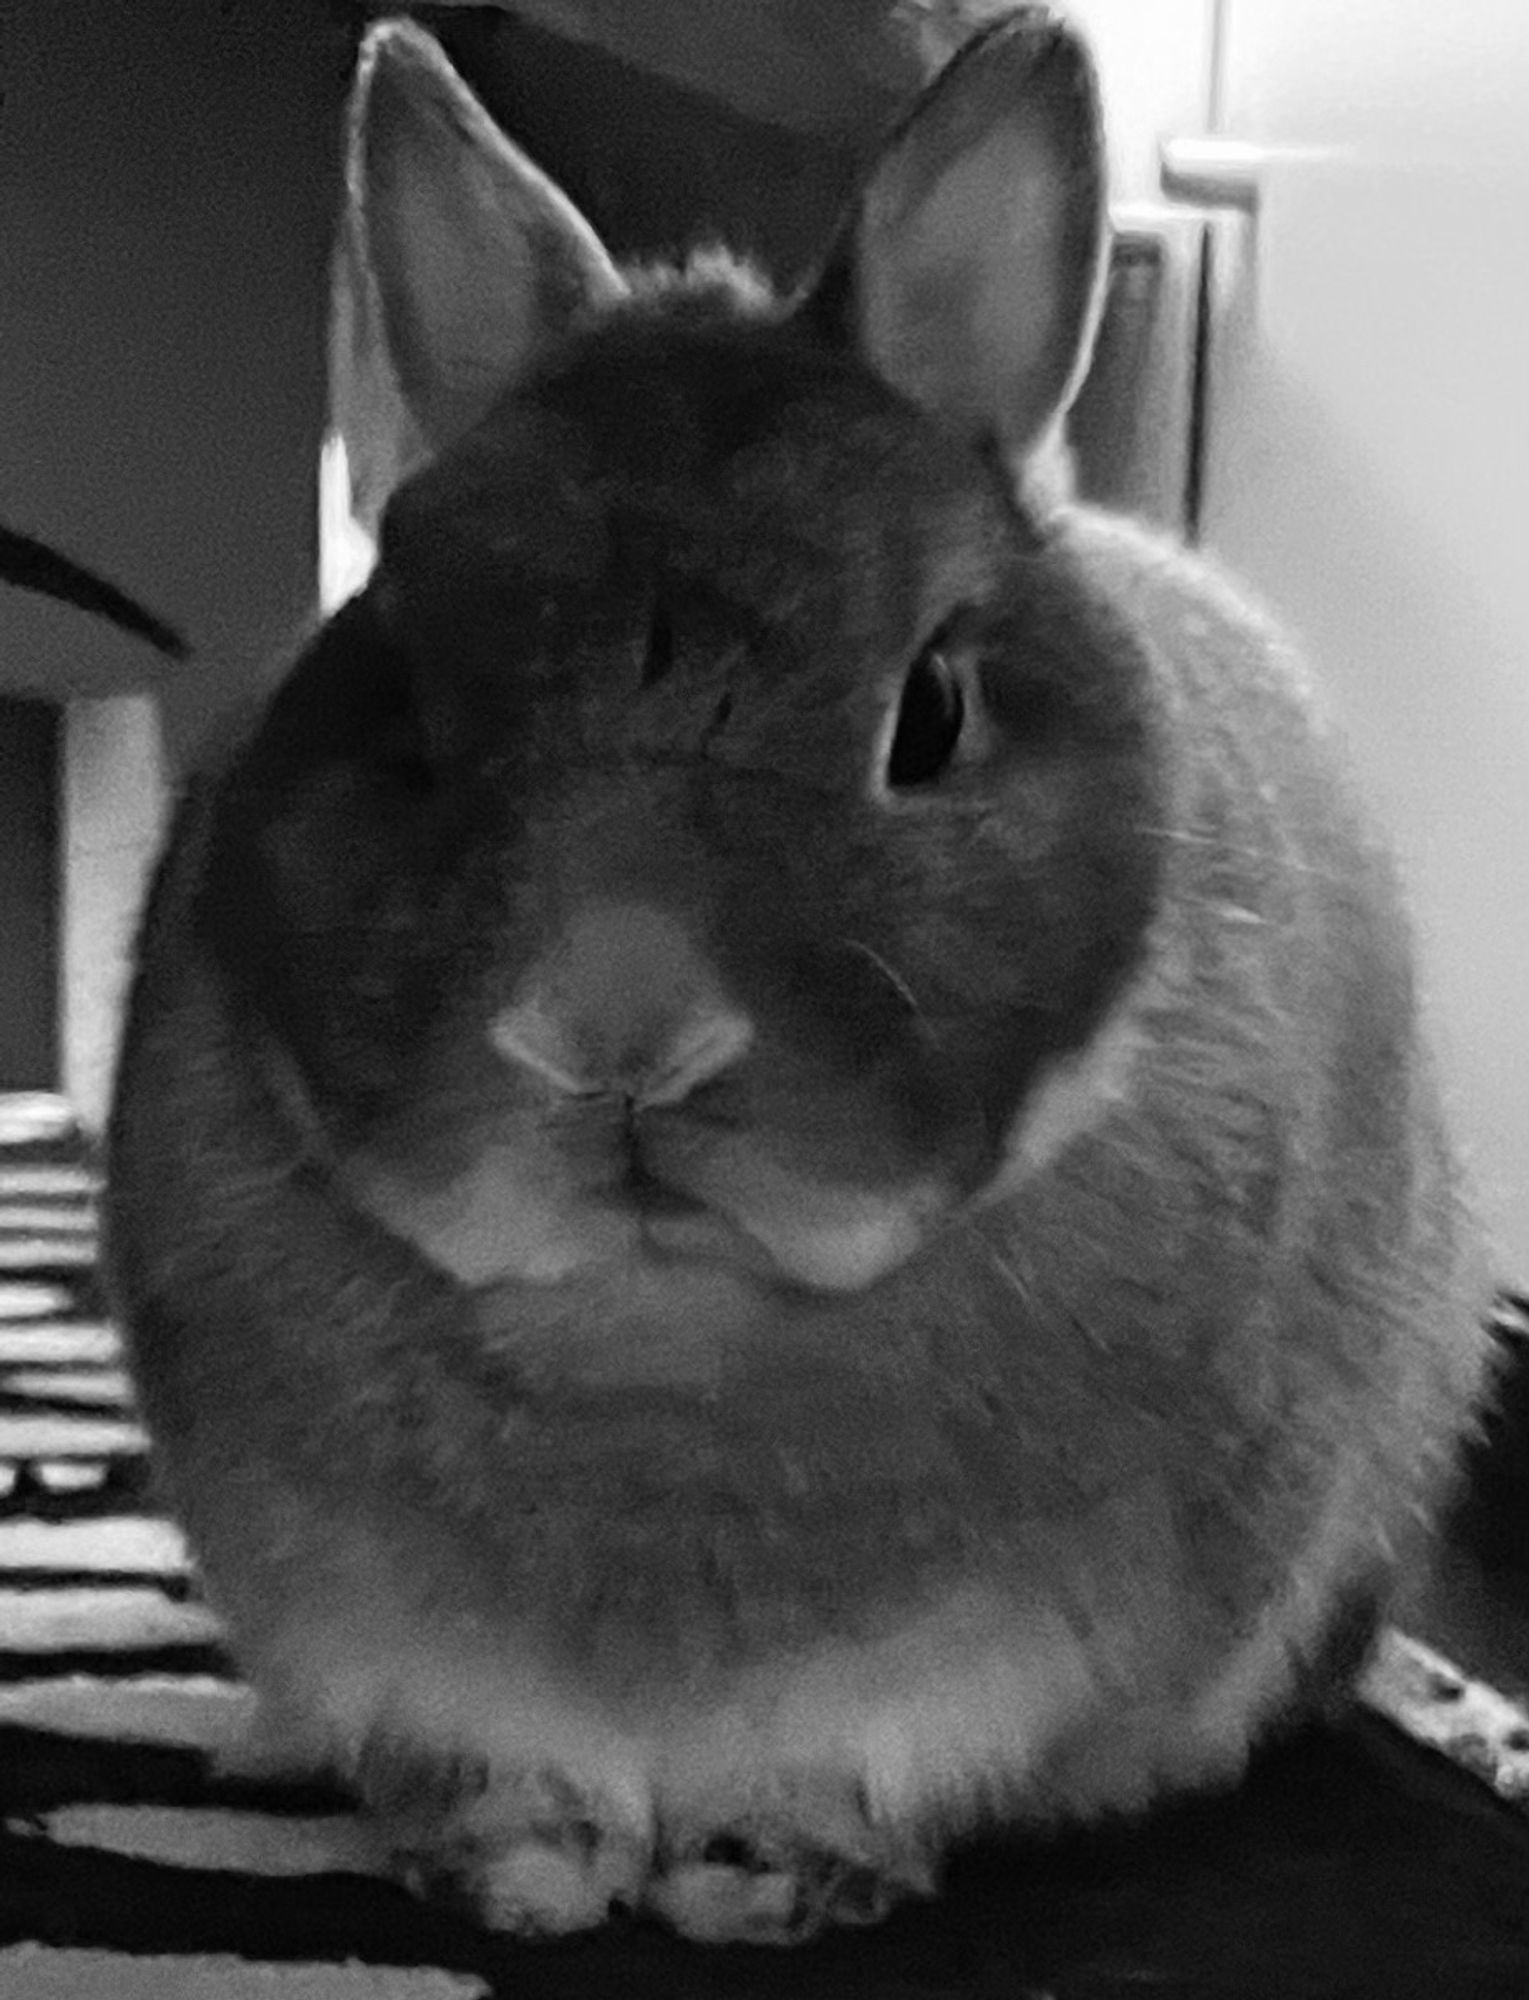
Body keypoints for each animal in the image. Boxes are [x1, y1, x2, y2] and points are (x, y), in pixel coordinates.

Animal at [104, 7, 1496, 1944]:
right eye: (404, 710)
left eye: (931, 714)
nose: (616, 1034)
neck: (659, 1321)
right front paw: (520, 1868)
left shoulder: (992, 1665)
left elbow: (861, 1770)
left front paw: (759, 1876)